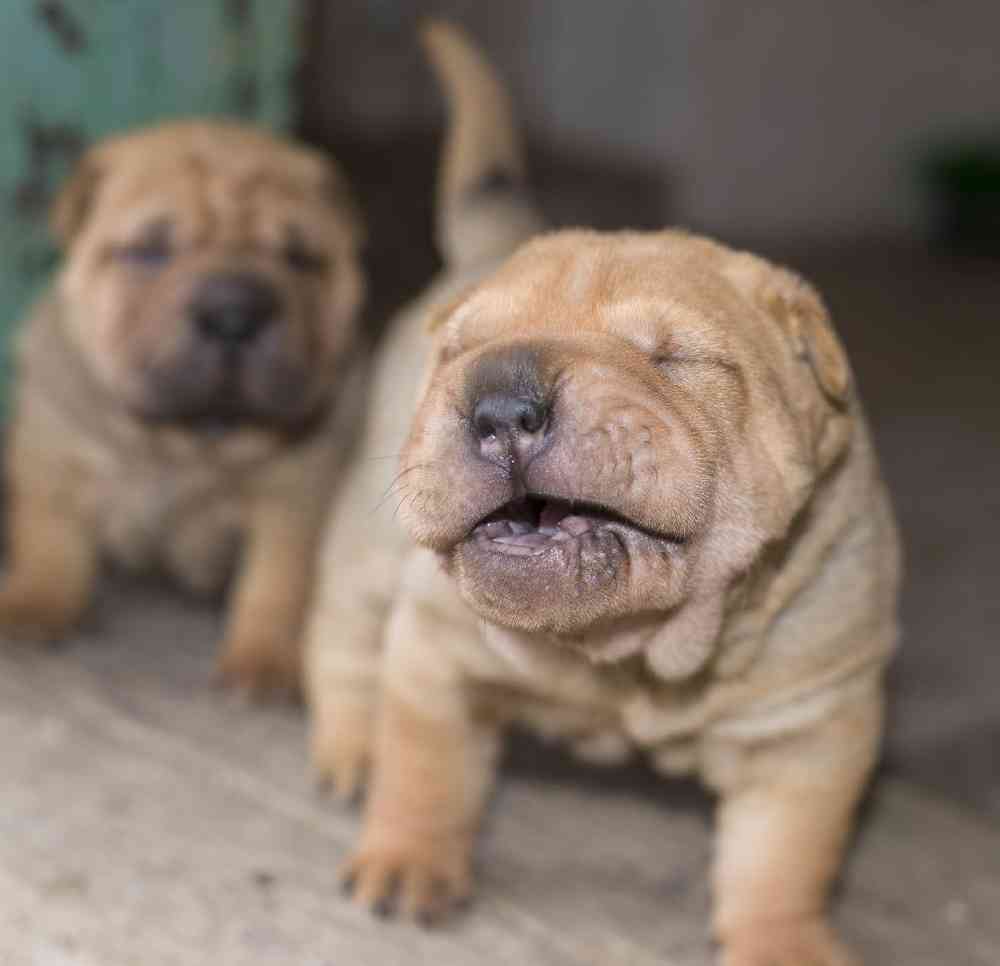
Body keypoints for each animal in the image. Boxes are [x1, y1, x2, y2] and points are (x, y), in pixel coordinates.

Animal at [310, 18, 900, 966]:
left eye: (671, 358)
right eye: (458, 353)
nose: (499, 401)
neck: (624, 658)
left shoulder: (812, 726)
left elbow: (783, 859)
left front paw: (782, 943)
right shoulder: (434, 655)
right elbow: (425, 768)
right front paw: (406, 861)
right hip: (365, 554)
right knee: (341, 638)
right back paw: (349, 748)